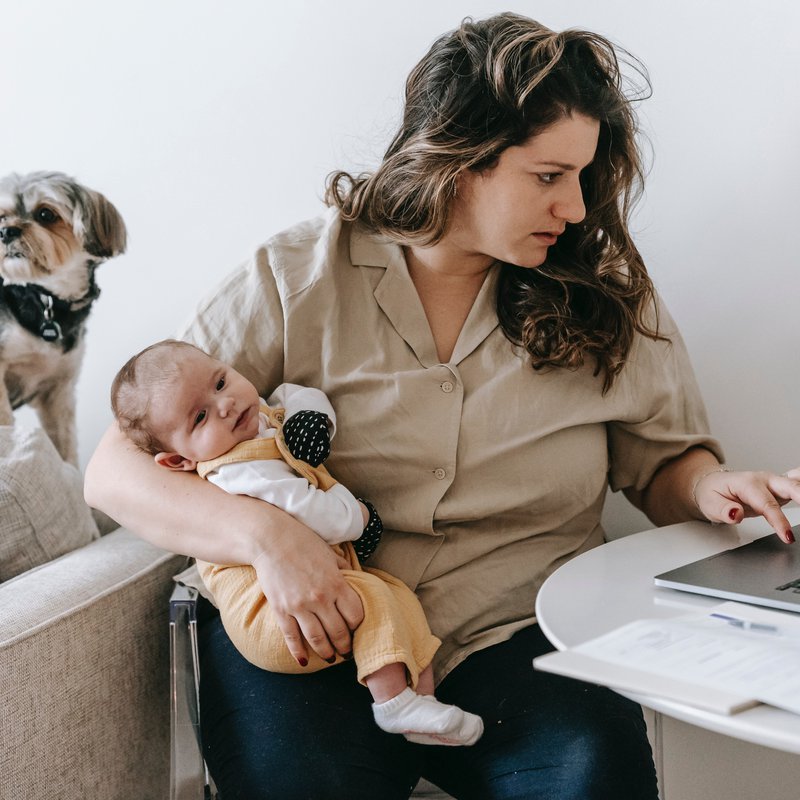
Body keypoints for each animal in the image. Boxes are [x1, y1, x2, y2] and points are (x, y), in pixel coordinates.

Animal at [0, 172, 126, 466]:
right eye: (2, 216)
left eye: (46, 214)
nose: (5, 231)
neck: (46, 300)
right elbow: (5, 420)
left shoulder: (57, 390)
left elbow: (65, 445)